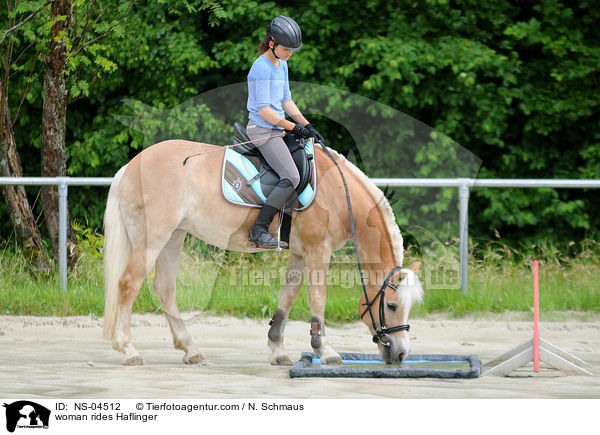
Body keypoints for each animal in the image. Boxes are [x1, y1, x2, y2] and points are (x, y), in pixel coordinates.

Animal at [102, 140, 422, 368]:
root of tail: (130, 166)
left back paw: (190, 348)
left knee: (165, 288)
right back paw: (128, 349)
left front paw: (278, 349)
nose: (402, 354)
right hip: (153, 237)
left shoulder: (300, 254)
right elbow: (317, 298)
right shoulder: (318, 250)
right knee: (129, 284)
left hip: (174, 237)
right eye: (392, 305)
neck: (336, 194)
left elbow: (287, 297)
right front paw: (325, 349)